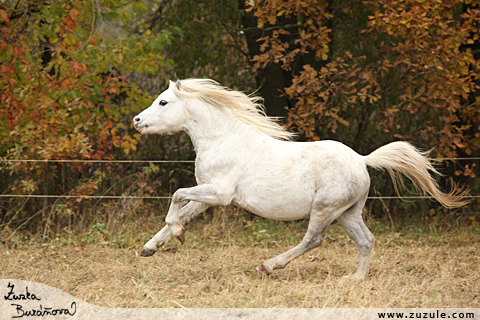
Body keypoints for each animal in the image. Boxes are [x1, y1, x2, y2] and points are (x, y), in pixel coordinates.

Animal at [133, 79, 466, 278]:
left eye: (163, 102)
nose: (137, 121)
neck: (222, 139)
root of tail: (361, 159)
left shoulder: (219, 194)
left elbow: (177, 196)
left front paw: (175, 234)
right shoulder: (207, 196)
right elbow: (183, 211)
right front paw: (151, 247)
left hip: (325, 209)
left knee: (313, 239)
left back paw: (269, 265)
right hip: (348, 213)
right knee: (366, 241)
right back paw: (354, 279)